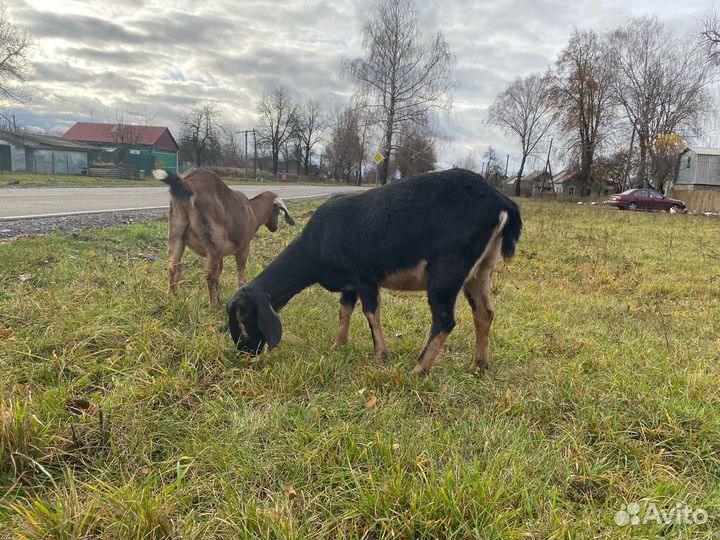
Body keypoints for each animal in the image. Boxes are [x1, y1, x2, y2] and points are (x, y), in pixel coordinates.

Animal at [152, 168, 295, 308]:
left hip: (177, 233)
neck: (253, 211)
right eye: (277, 211)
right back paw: (214, 306)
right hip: (214, 240)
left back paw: (173, 298)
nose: (274, 228)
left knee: (172, 267)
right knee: (209, 275)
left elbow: (219, 271)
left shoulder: (220, 254)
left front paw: (219, 295)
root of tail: (187, 184)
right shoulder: (243, 246)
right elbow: (240, 270)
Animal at [226, 168, 521, 374]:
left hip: (448, 268)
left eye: (243, 317)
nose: (245, 352)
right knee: (484, 313)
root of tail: (500, 201)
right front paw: (338, 345)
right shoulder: (349, 284)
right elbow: (344, 310)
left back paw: (417, 369)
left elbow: (371, 313)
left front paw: (380, 355)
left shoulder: (364, 276)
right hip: (481, 268)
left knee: (445, 319)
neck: (317, 241)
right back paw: (478, 366)